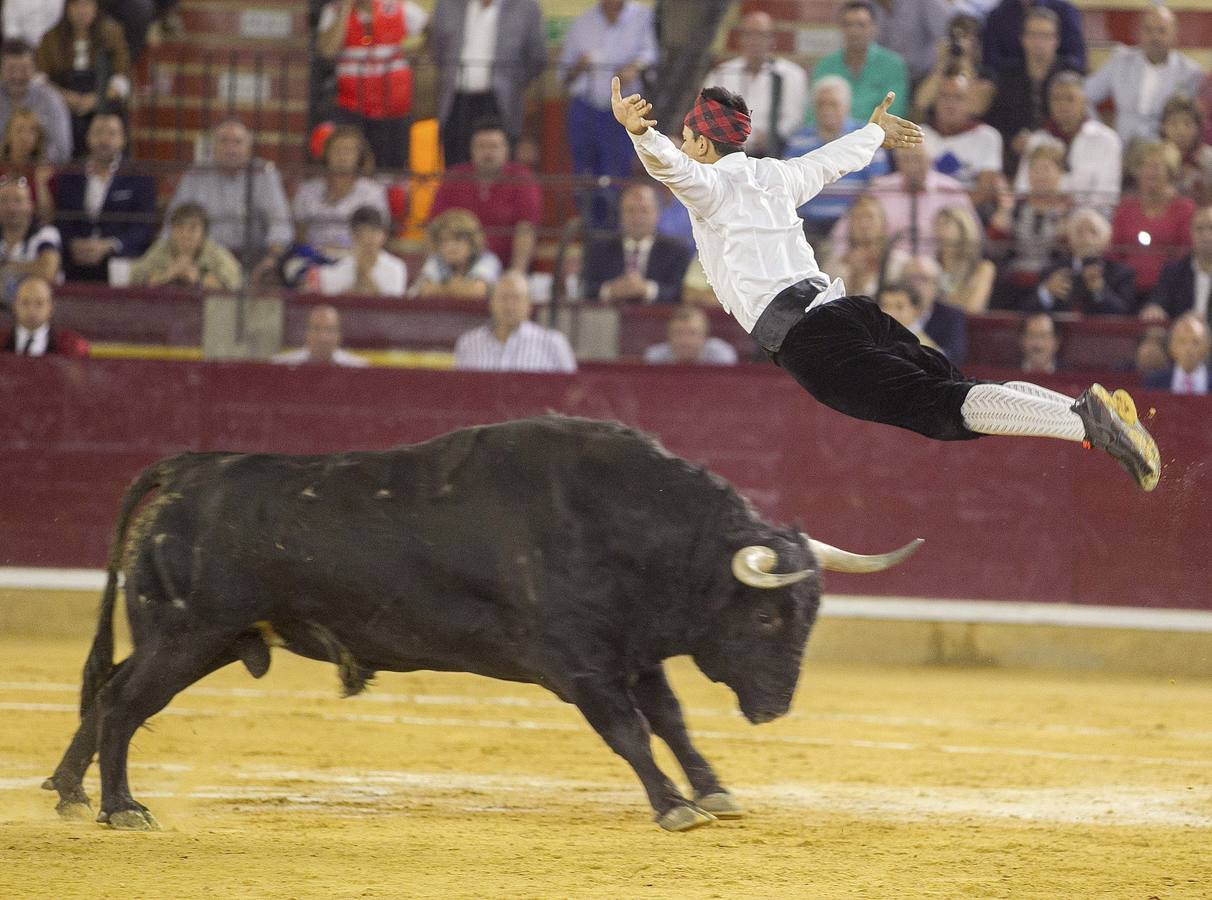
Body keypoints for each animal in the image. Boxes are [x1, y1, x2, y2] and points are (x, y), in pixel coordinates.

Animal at [44, 414, 916, 828]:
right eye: (770, 617)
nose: (776, 708)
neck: (634, 526)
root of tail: (189, 467)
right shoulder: (581, 666)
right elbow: (630, 732)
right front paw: (673, 807)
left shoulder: (634, 653)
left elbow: (671, 721)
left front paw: (713, 792)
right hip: (188, 634)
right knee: (124, 701)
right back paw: (121, 807)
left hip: (209, 640)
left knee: (109, 690)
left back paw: (69, 791)